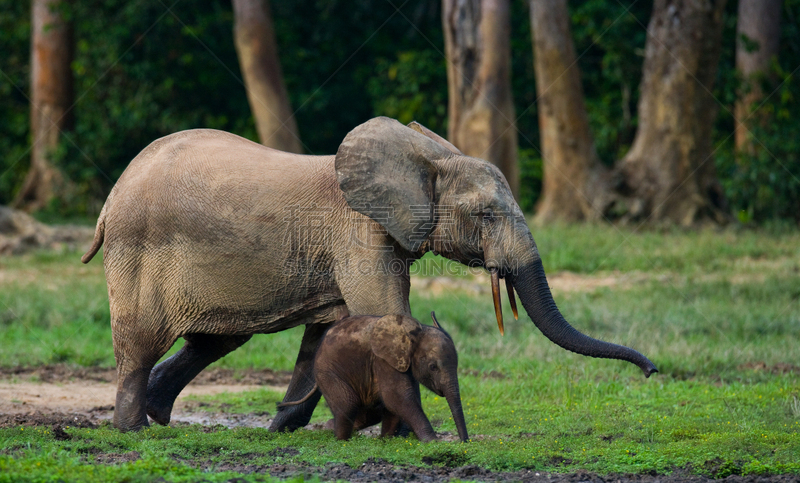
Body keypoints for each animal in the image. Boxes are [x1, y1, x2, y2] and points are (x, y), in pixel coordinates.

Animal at [280, 314, 468, 442]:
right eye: (433, 367)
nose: (464, 442)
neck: (414, 332)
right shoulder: (382, 359)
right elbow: (398, 397)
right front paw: (432, 441)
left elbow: (397, 401)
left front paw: (386, 441)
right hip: (327, 371)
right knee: (348, 403)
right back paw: (342, 440)